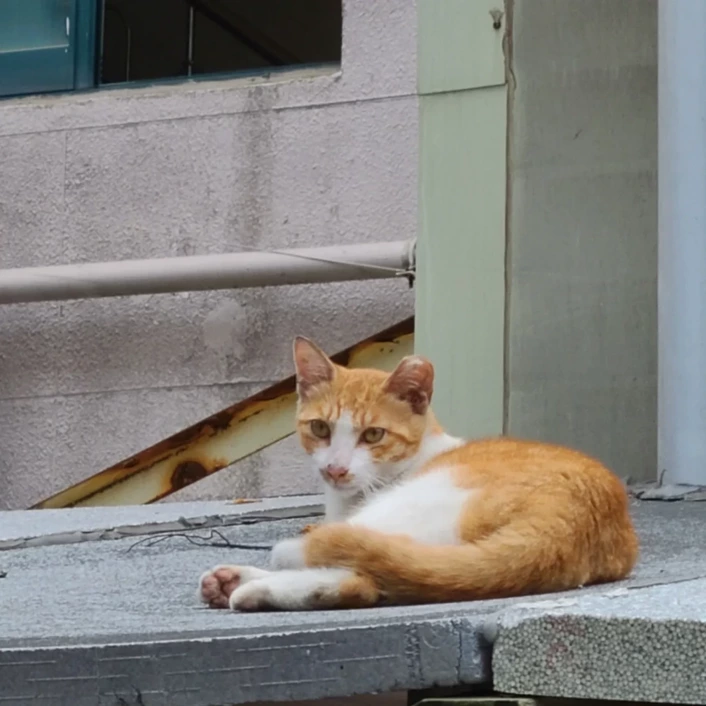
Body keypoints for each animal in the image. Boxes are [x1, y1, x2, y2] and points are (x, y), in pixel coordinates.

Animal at [199, 338, 640, 608]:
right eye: (320, 428)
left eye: (373, 435)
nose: (336, 468)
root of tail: (573, 520)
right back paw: (237, 584)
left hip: (412, 504)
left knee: (359, 575)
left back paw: (249, 586)